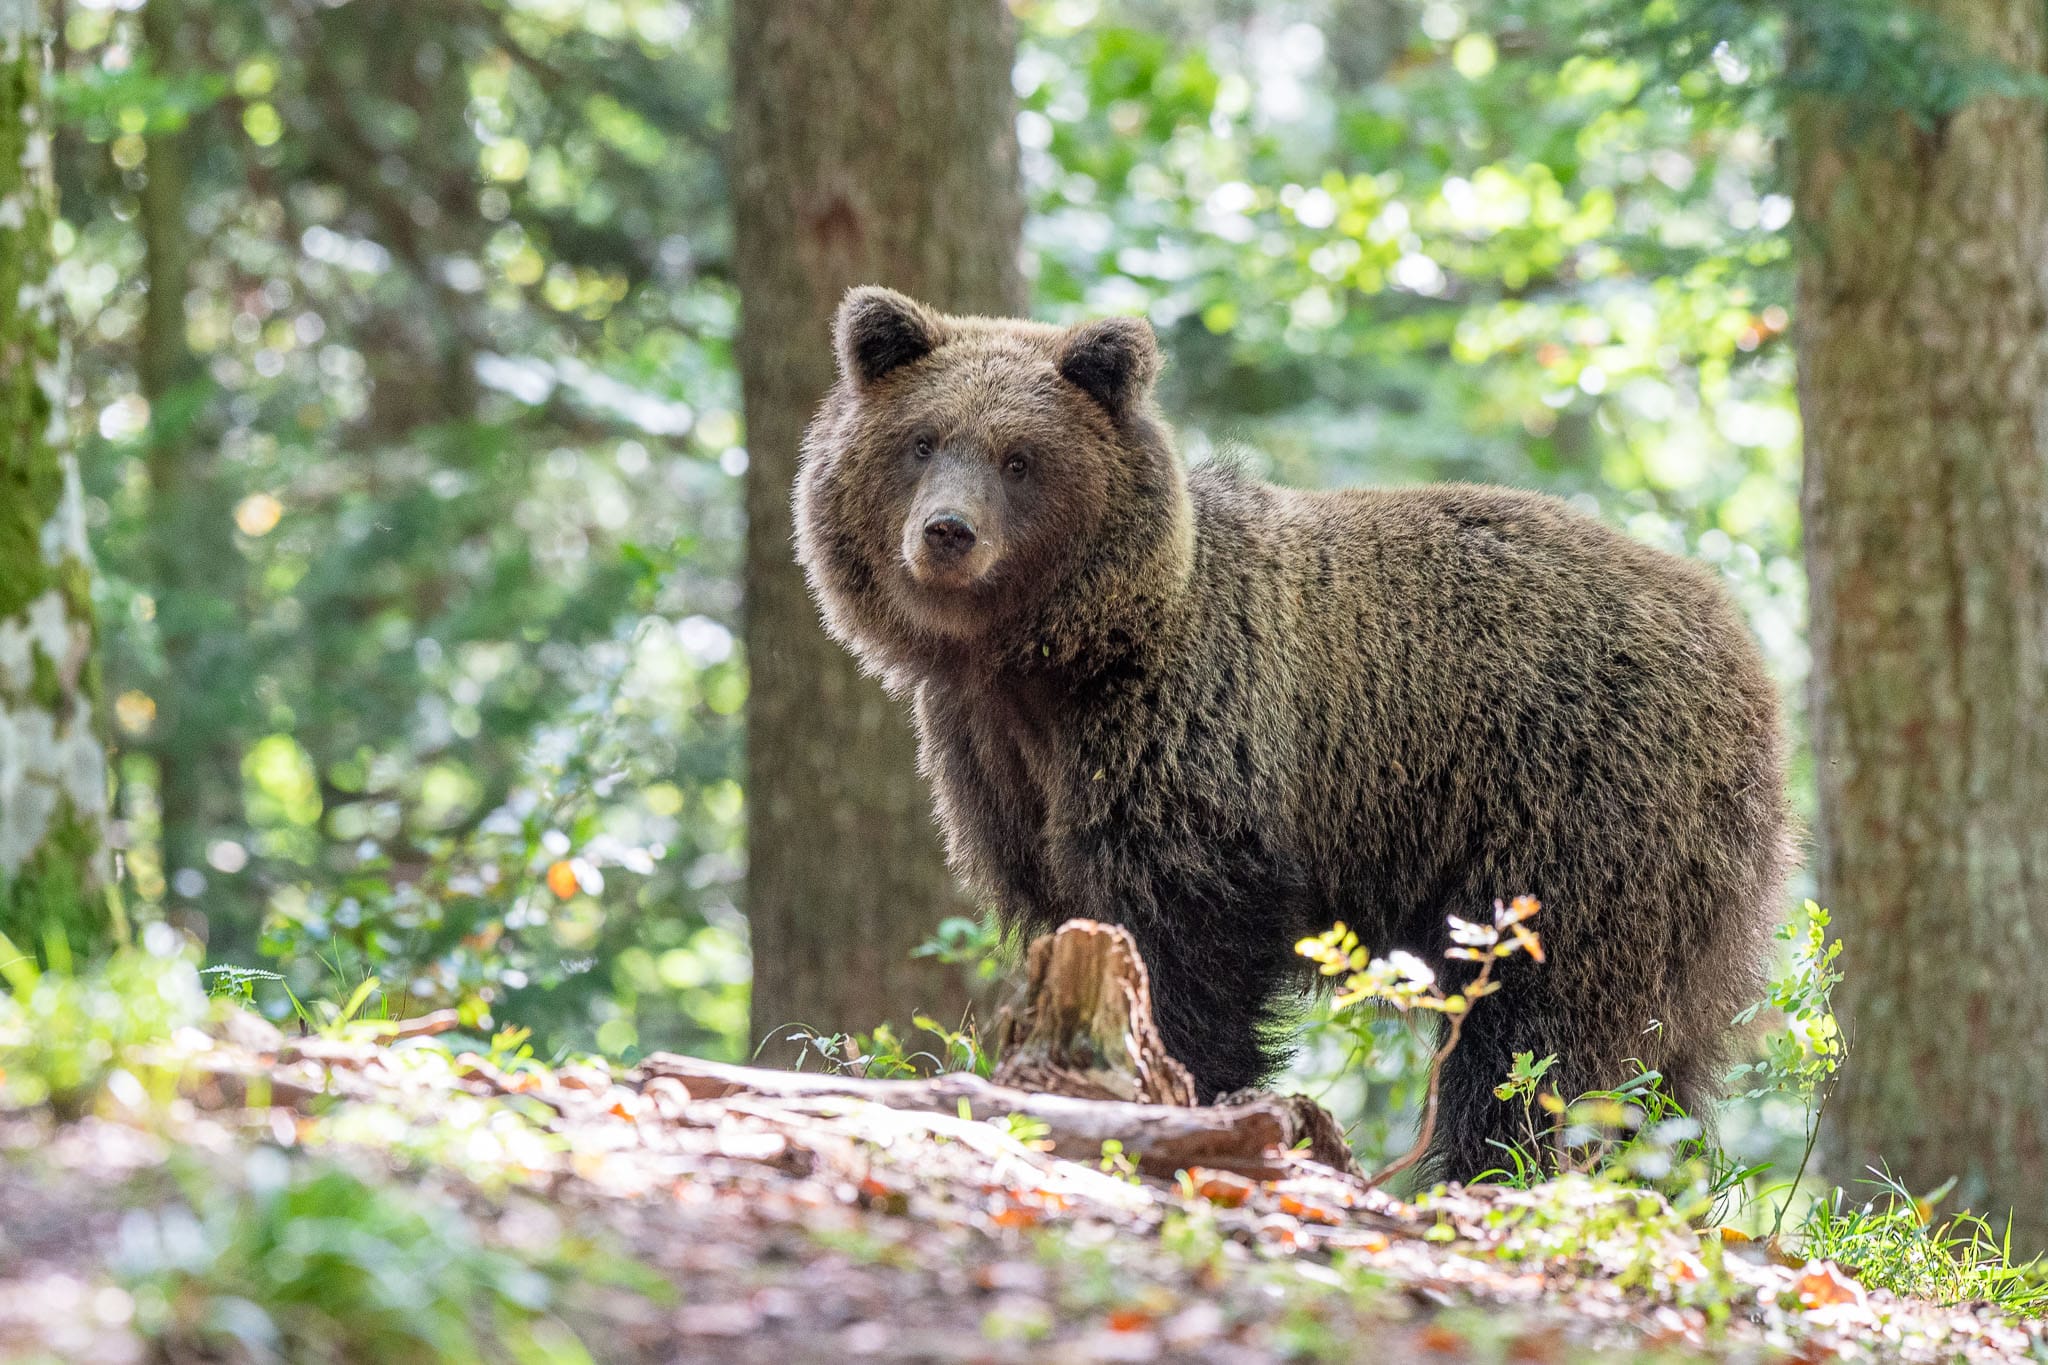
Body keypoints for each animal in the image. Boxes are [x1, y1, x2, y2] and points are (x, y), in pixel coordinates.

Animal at [793, 286, 1792, 1180]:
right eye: (922, 440)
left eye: (1019, 457)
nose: (947, 531)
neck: (1048, 665)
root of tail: (1738, 642)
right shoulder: (998, 767)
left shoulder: (1187, 741)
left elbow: (1192, 946)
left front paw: (1187, 1088)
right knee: (1665, 1049)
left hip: (1575, 811)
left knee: (1541, 1028)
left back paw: (1490, 1167)